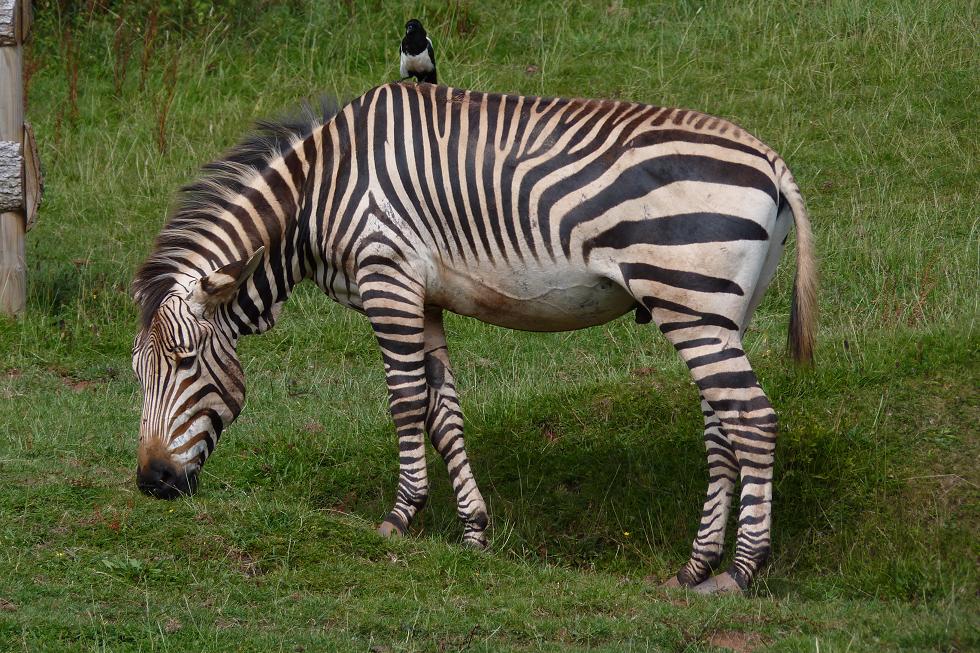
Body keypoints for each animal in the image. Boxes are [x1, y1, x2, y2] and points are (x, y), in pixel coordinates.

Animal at [131, 82, 816, 594]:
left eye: (187, 363)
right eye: (138, 376)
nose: (152, 484)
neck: (315, 191)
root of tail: (770, 159)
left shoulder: (387, 279)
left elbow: (406, 402)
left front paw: (399, 518)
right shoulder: (425, 298)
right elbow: (445, 411)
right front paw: (473, 533)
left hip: (689, 299)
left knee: (753, 420)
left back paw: (740, 572)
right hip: (719, 311)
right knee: (723, 427)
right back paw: (696, 568)